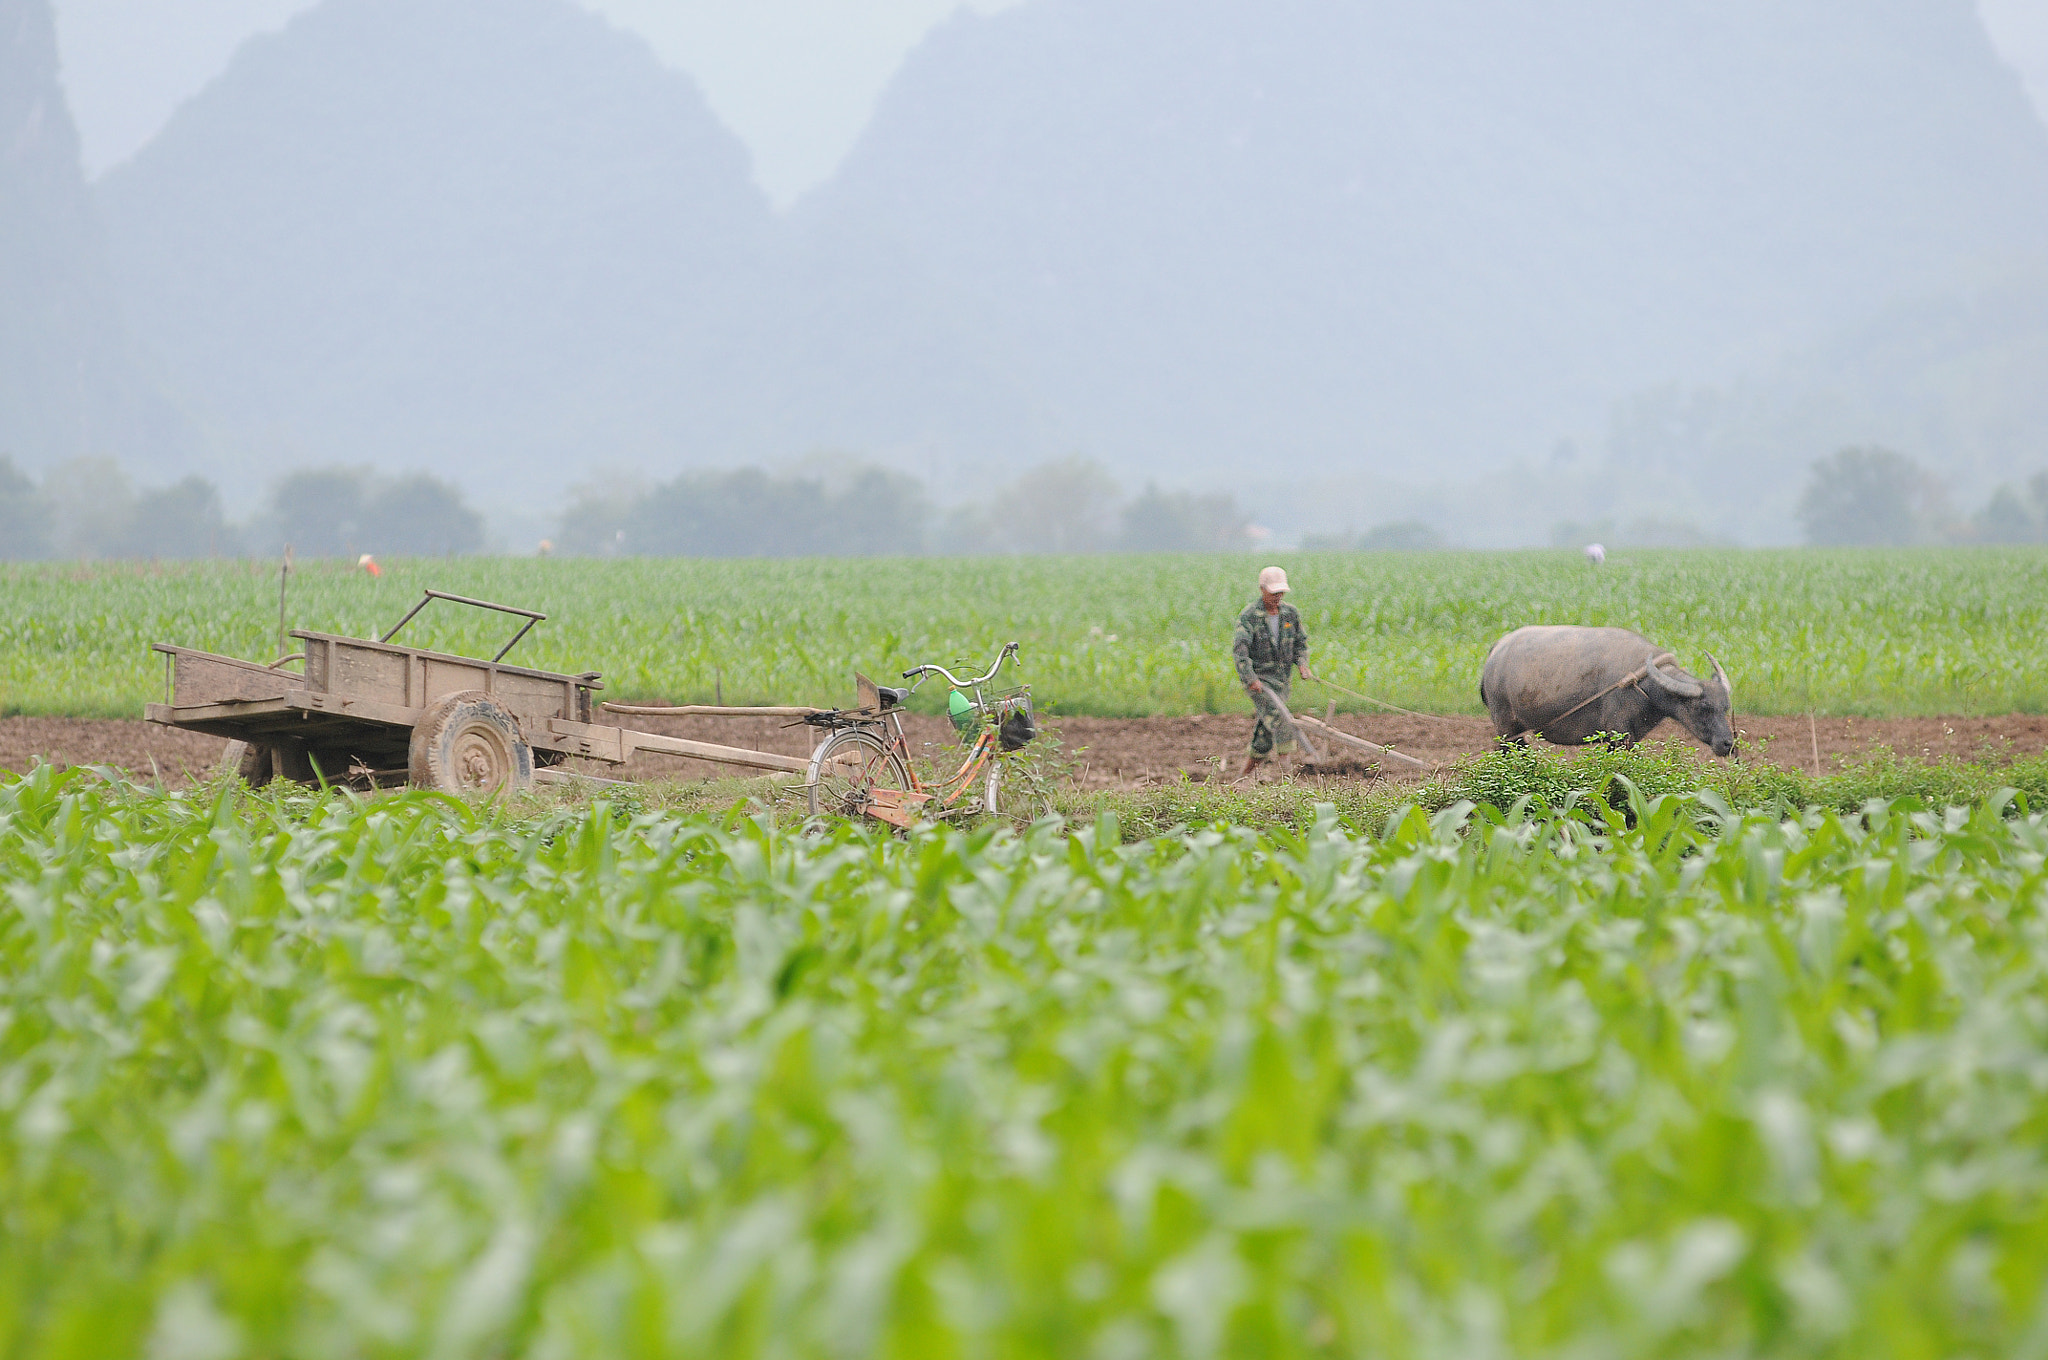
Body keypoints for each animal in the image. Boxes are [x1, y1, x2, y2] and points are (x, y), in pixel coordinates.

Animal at [1482, 622, 1736, 753]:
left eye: (1725, 708)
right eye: (1703, 709)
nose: (1727, 743)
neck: (1643, 685)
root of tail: (1497, 649)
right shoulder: (1619, 733)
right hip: (1506, 727)